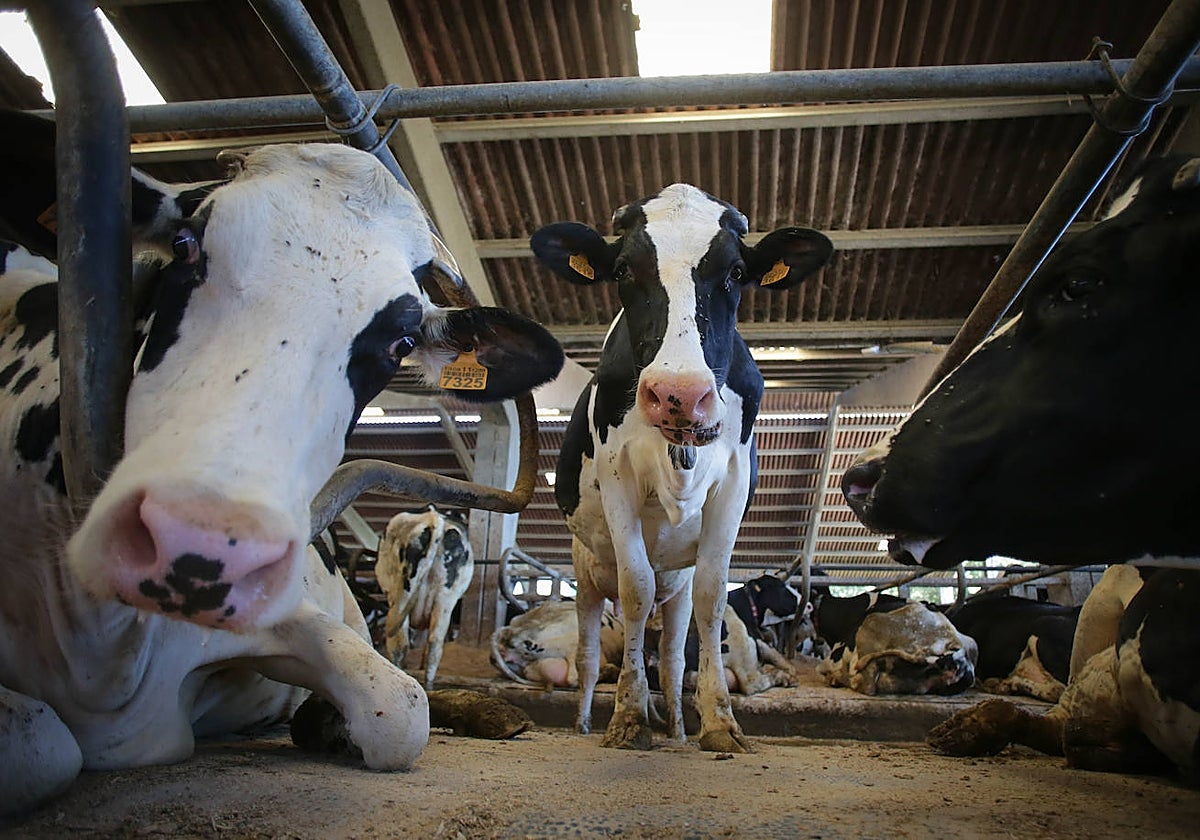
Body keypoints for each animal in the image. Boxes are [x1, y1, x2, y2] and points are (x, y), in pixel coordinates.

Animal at [374, 506, 473, 689]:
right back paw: (428, 687)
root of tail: (435, 518)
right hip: (445, 600)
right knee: (435, 644)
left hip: (400, 595)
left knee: (400, 644)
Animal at [532, 183, 833, 751]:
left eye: (736, 272)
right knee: (587, 657)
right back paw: (586, 723)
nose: (680, 394)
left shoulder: (732, 486)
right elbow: (635, 587)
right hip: (585, 576)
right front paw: (628, 717)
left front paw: (718, 722)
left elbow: (715, 598)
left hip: (676, 592)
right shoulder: (618, 479)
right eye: (623, 269)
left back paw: (674, 729)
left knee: (671, 657)